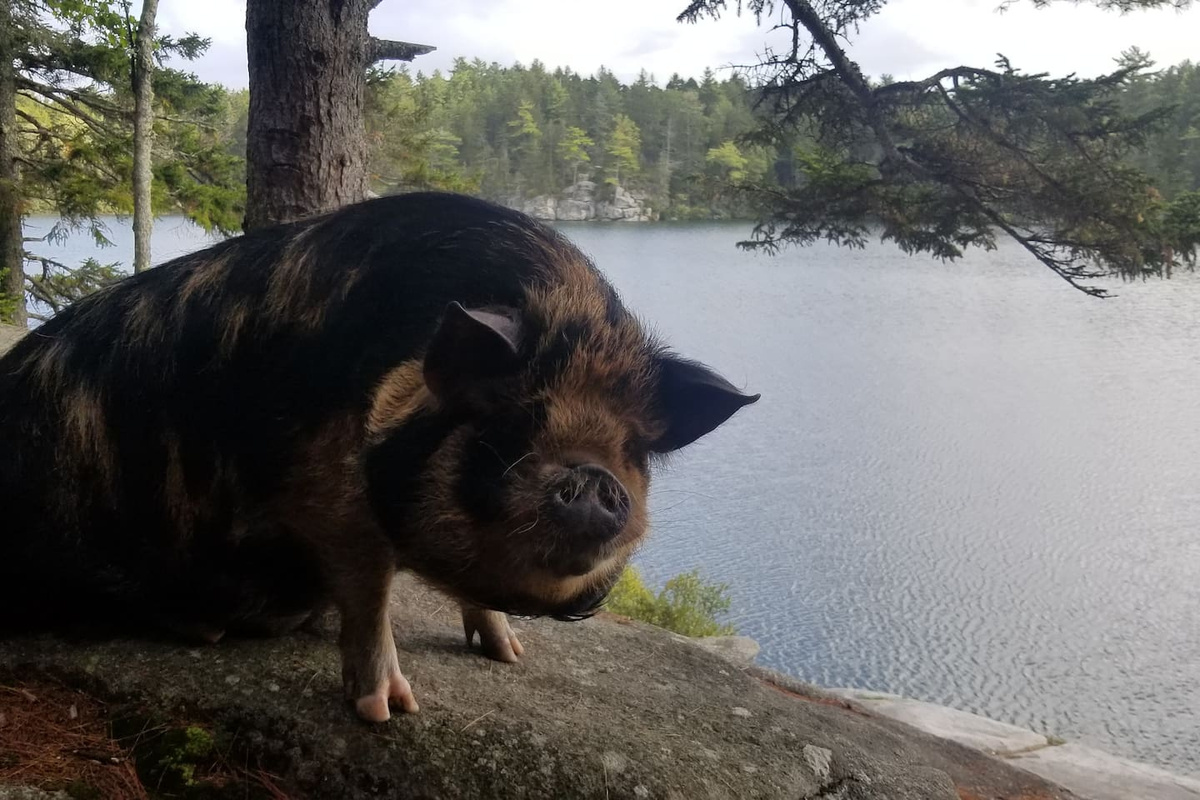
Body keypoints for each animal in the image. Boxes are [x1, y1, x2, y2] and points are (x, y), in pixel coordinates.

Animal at [0, 192, 758, 722]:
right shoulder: (326, 492)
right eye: (514, 421)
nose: (595, 477)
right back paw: (205, 629)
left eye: (634, 448)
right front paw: (388, 712)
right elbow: (370, 593)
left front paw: (510, 656)